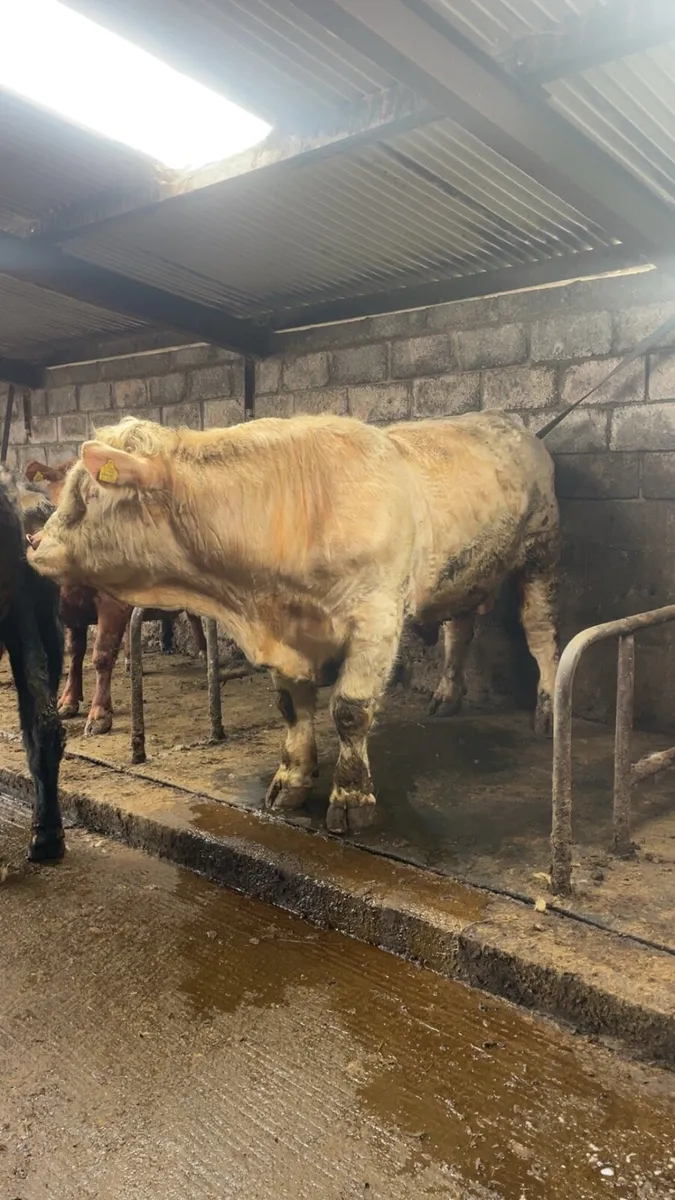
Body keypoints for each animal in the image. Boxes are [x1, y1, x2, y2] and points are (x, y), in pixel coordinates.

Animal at [25, 457, 207, 735]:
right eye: (55, 496)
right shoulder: (71, 607)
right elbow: (75, 652)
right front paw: (67, 702)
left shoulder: (112, 604)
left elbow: (102, 654)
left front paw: (99, 715)